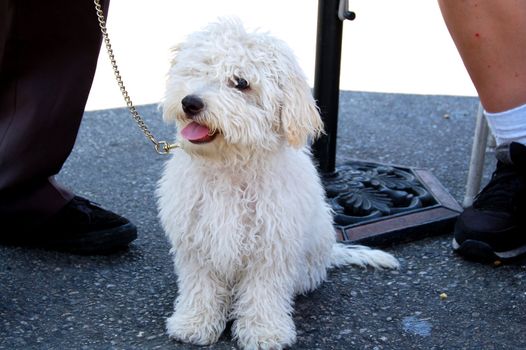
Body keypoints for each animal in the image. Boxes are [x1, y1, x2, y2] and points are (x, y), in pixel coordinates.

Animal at [157, 17, 400, 348]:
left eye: (241, 83)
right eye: (198, 69)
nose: (190, 102)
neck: (230, 166)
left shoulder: (272, 246)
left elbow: (263, 292)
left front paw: (264, 331)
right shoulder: (196, 242)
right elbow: (200, 285)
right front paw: (194, 322)